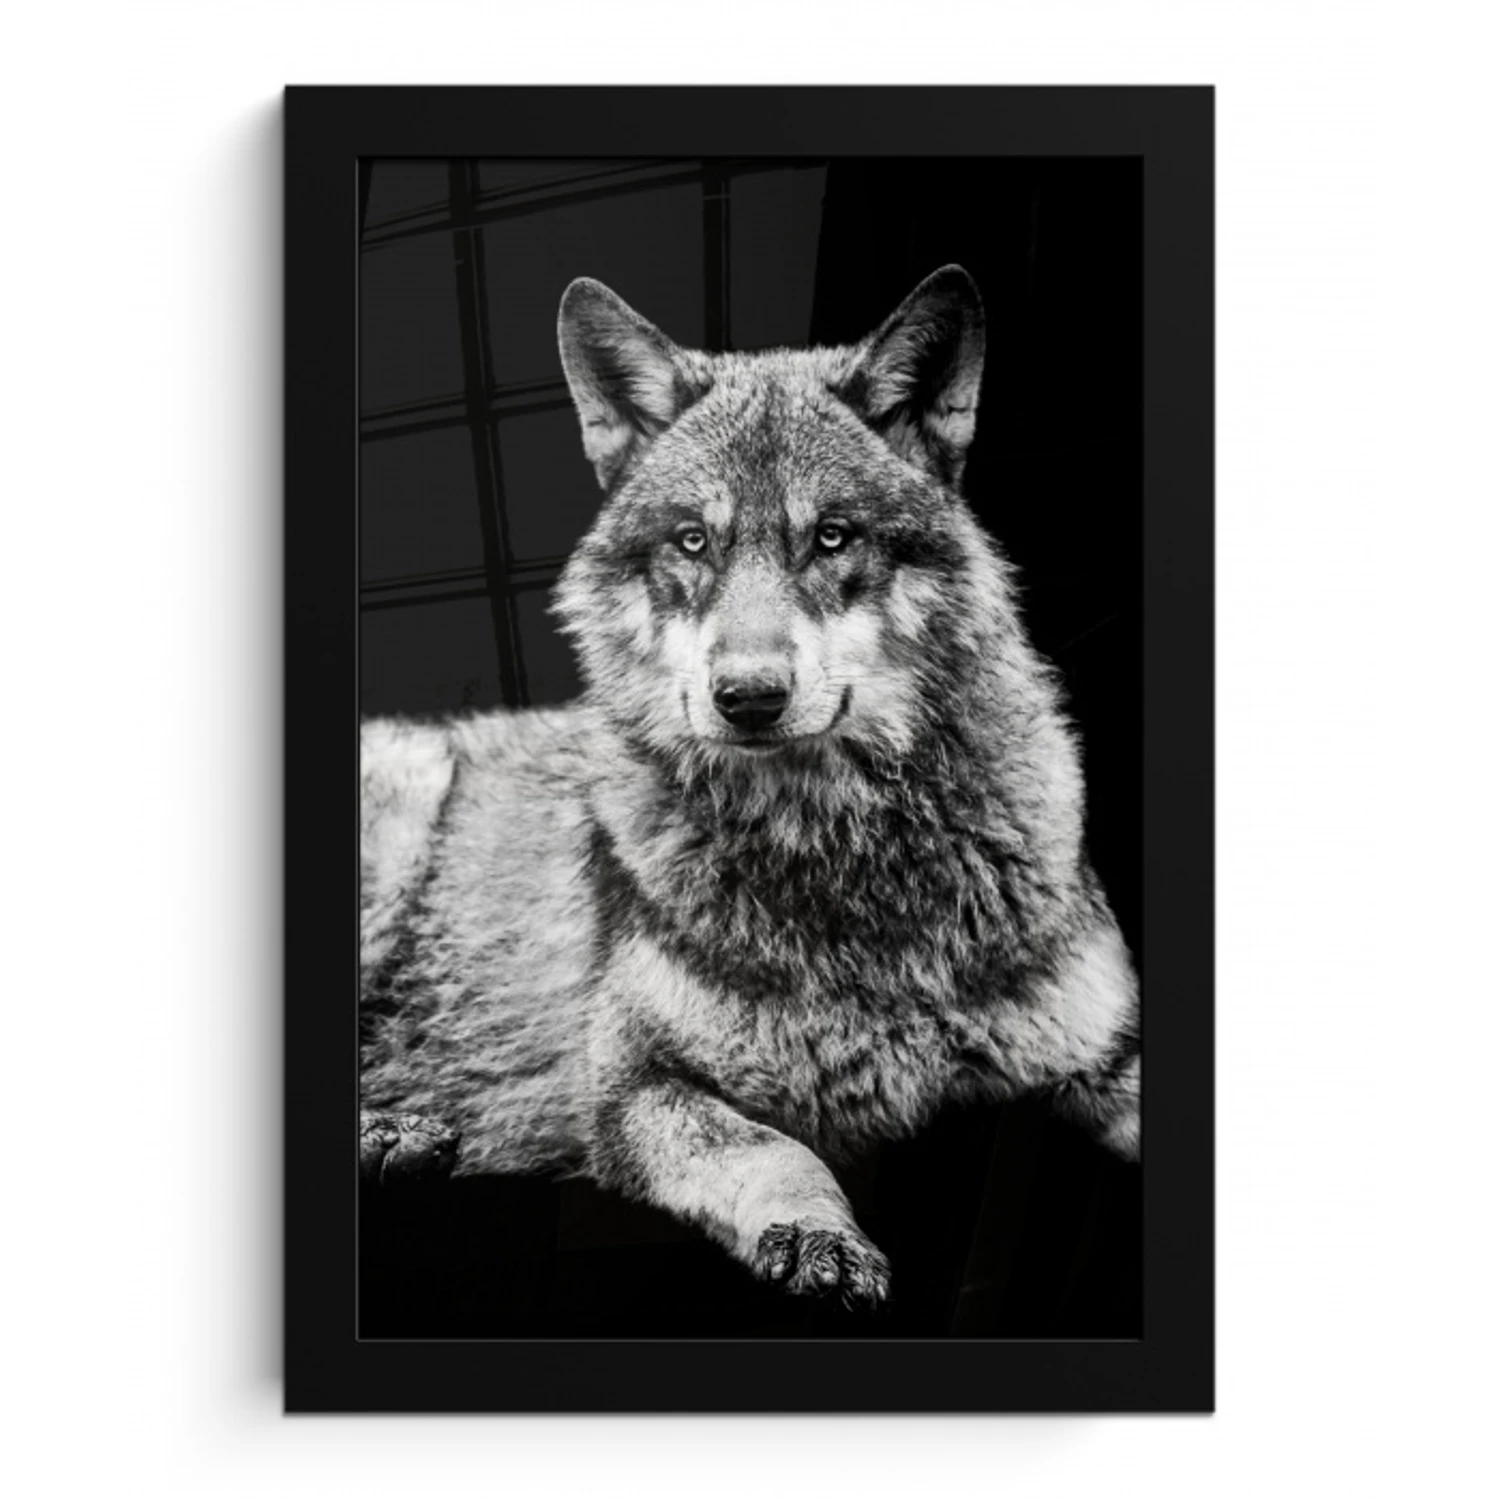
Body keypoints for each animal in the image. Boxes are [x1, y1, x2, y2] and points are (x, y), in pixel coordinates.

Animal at [359, 265, 1140, 1308]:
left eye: (833, 538)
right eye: (694, 543)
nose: (749, 698)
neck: (842, 860)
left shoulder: (1108, 1051)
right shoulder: (634, 1088)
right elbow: (776, 1150)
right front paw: (817, 1235)